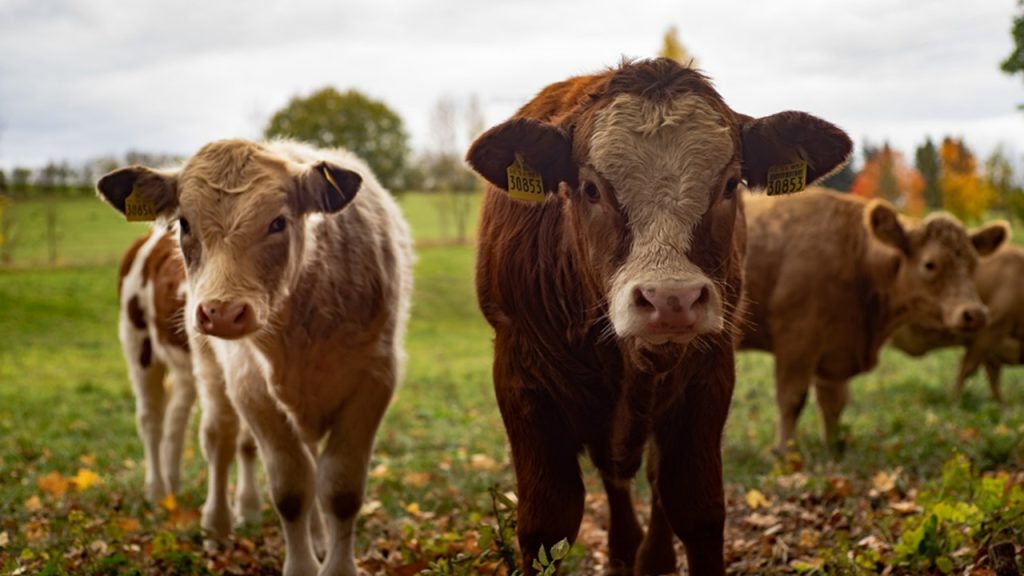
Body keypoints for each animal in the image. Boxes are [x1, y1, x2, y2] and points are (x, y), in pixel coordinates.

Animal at [97, 139, 411, 573]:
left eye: (278, 222)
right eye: (185, 223)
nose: (221, 312)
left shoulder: (375, 380)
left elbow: (340, 489)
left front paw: (330, 557)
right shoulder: (250, 385)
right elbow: (291, 488)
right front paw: (301, 565)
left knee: (186, 422)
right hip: (149, 348)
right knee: (183, 429)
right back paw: (184, 505)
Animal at [468, 59, 851, 573]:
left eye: (729, 184)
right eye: (590, 188)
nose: (672, 299)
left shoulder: (708, 377)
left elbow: (696, 508)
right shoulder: (520, 379)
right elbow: (546, 523)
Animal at [737, 186, 1007, 455]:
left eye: (973, 264)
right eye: (930, 264)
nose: (975, 313)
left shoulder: (835, 352)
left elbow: (833, 404)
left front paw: (833, 448)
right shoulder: (796, 343)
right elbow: (792, 400)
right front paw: (785, 452)